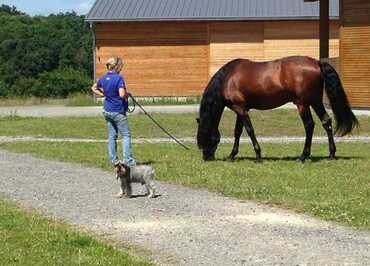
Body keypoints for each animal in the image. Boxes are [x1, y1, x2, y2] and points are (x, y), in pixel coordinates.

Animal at [197, 56, 358, 162]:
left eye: (204, 135)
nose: (207, 157)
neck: (228, 78)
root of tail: (317, 63)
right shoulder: (241, 109)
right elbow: (238, 132)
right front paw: (232, 155)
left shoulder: (240, 109)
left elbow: (249, 130)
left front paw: (258, 156)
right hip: (315, 102)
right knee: (326, 121)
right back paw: (331, 154)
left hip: (302, 104)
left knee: (309, 125)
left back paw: (303, 156)